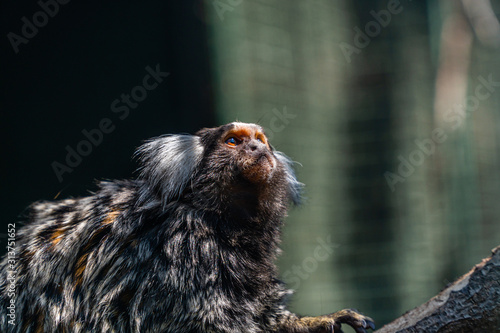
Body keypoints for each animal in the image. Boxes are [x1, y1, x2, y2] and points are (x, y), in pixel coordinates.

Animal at [0, 122, 376, 332]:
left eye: (261, 140)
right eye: (234, 142)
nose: (259, 148)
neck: (218, 220)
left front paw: (313, 322)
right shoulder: (178, 253)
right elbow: (198, 320)